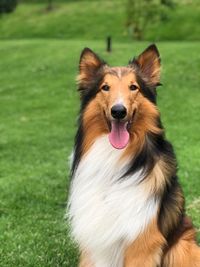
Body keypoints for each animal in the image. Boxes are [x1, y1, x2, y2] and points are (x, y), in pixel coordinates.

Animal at [68, 45, 199, 266]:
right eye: (105, 87)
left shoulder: (142, 240)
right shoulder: (95, 244)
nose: (118, 111)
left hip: (182, 247)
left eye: (133, 87)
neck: (114, 156)